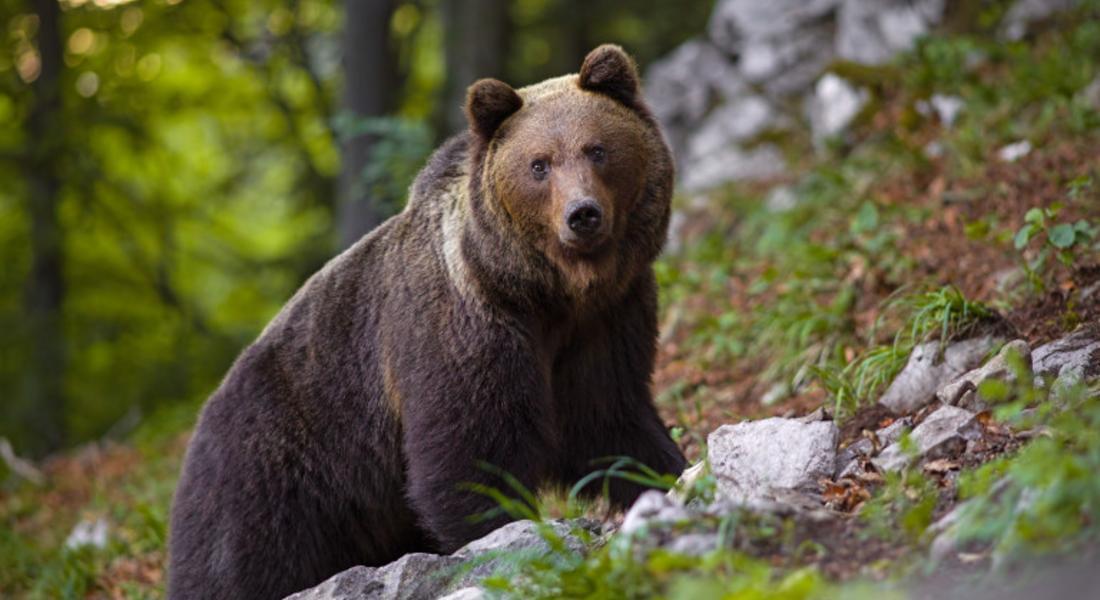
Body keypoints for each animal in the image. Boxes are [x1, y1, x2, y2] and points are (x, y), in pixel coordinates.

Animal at [166, 44, 682, 594]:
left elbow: (609, 418)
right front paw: (502, 537)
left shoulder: (606, 321)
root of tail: (198, 424)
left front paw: (668, 473)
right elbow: (470, 452)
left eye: (597, 149)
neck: (545, 293)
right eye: (539, 164)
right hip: (271, 473)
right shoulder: (465, 328)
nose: (582, 214)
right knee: (240, 565)